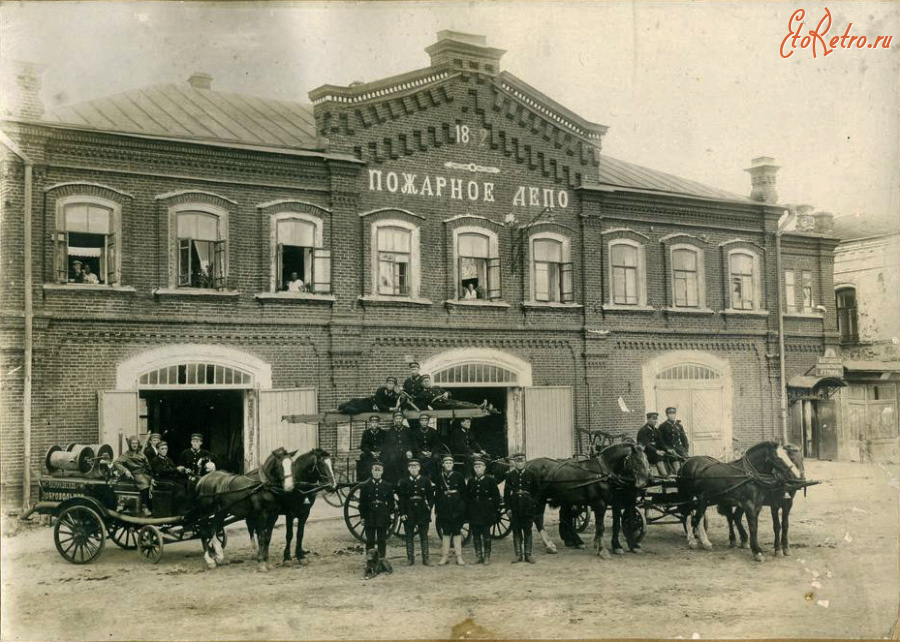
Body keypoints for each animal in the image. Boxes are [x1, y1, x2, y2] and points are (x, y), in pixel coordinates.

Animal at [524, 442, 652, 556]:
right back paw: (550, 545)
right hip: (539, 499)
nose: (646, 482)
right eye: (638, 460)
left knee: (564, 518)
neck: (604, 472)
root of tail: (527, 465)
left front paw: (618, 546)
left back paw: (575, 542)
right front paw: (602, 550)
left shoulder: (616, 501)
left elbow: (618, 524)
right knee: (538, 519)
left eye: (647, 460)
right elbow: (601, 526)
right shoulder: (600, 502)